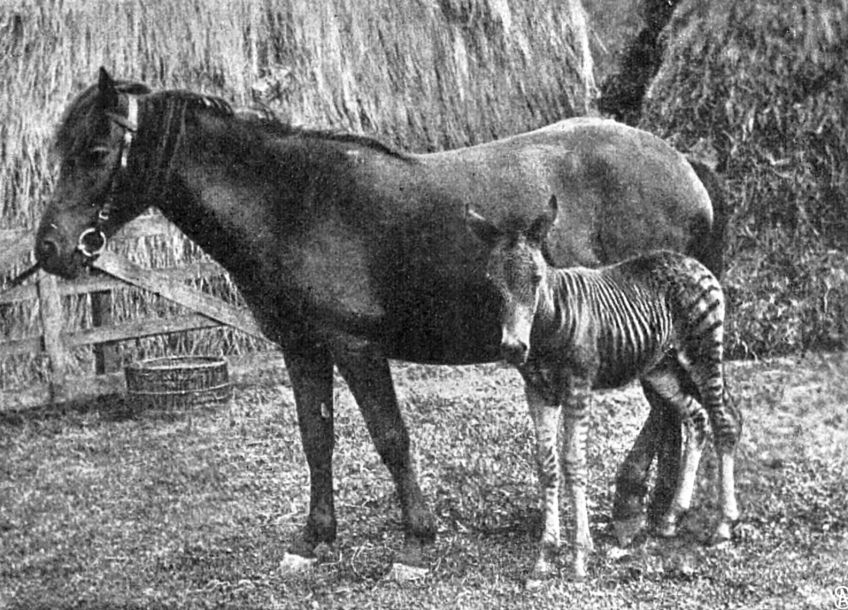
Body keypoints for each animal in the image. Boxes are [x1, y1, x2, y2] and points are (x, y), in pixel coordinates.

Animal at [466, 195, 741, 581]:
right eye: (493, 283)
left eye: (536, 278)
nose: (513, 349)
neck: (549, 325)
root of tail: (692, 261)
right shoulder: (537, 392)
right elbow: (546, 464)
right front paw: (545, 555)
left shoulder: (578, 387)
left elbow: (573, 461)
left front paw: (580, 556)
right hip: (661, 368)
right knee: (698, 418)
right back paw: (672, 517)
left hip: (702, 351)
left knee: (724, 419)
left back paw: (723, 524)